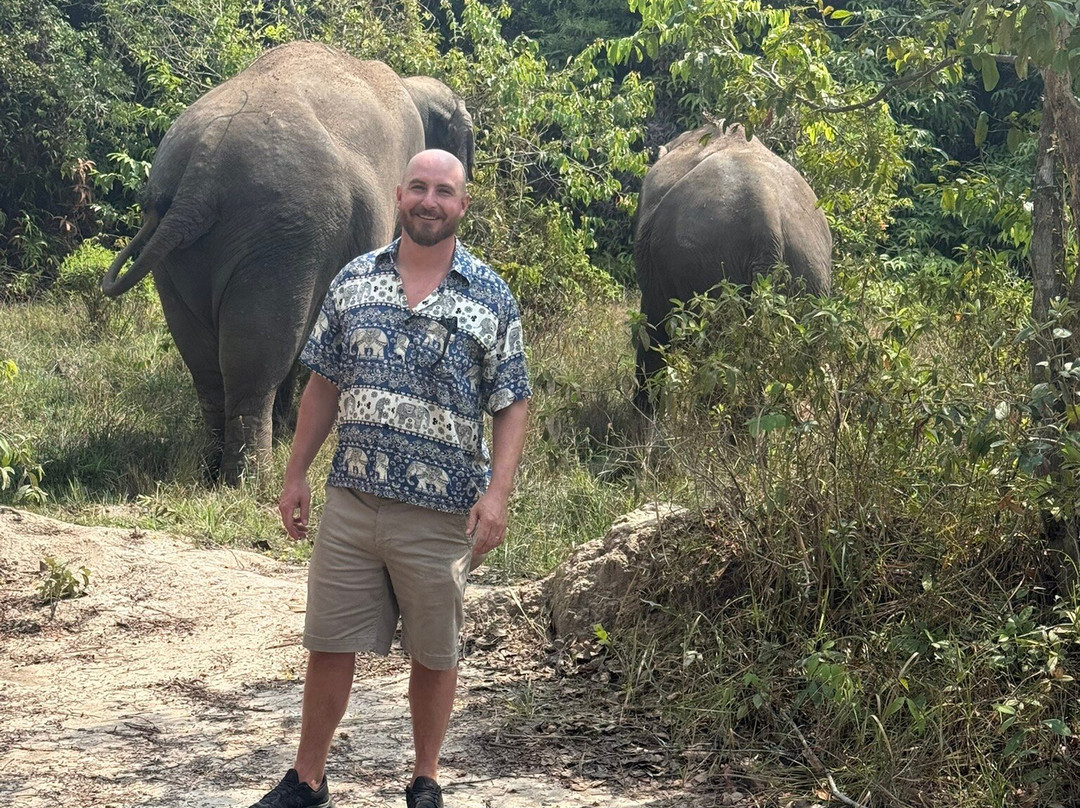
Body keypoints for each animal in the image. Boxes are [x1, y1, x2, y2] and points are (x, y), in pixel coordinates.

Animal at [100, 41, 474, 483]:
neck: (409, 84)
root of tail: (199, 178)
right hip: (283, 233)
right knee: (258, 354)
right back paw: (249, 479)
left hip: (181, 248)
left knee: (205, 359)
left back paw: (209, 468)